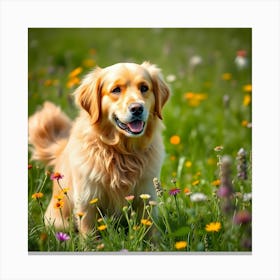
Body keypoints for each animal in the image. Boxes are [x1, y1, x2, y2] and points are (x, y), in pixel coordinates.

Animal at [28, 61, 170, 234]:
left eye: (144, 88)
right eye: (116, 90)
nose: (137, 108)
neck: (122, 152)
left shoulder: (147, 195)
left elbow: (149, 230)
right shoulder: (87, 201)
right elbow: (89, 233)